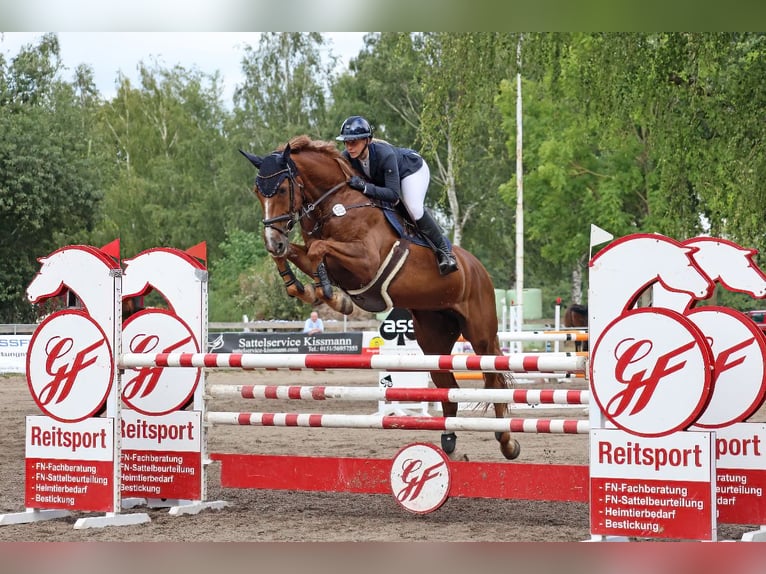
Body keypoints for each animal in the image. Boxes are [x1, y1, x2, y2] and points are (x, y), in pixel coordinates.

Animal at [242, 136, 520, 464]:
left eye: (283, 190)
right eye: (257, 192)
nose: (273, 239)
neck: (336, 204)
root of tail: (477, 268)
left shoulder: (365, 260)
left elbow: (319, 249)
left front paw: (331, 295)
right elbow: (297, 255)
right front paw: (307, 288)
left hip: (480, 332)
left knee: (494, 379)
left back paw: (507, 442)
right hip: (433, 339)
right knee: (448, 389)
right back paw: (449, 442)